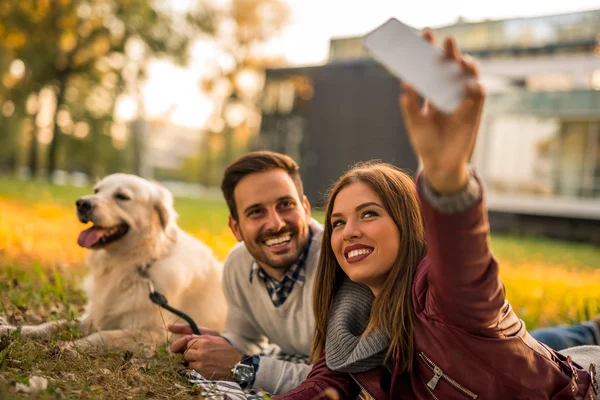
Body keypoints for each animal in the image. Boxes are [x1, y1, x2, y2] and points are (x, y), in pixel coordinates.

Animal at [1, 174, 226, 354]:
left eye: (122, 197)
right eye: (96, 190)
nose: (82, 203)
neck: (133, 263)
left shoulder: (154, 333)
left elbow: (105, 335)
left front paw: (72, 346)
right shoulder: (92, 316)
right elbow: (54, 324)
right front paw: (14, 329)